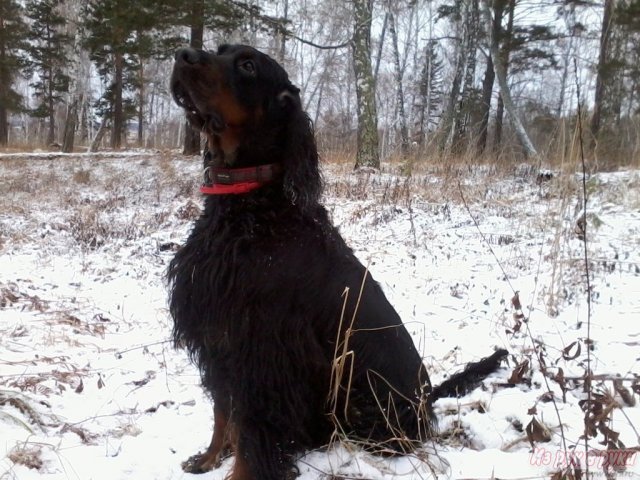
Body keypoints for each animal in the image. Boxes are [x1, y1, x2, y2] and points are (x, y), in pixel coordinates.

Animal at [168, 43, 508, 478]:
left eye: (247, 65)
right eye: (220, 50)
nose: (183, 54)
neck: (252, 207)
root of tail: (425, 398)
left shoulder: (261, 353)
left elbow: (252, 430)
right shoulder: (219, 339)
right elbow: (222, 412)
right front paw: (209, 458)